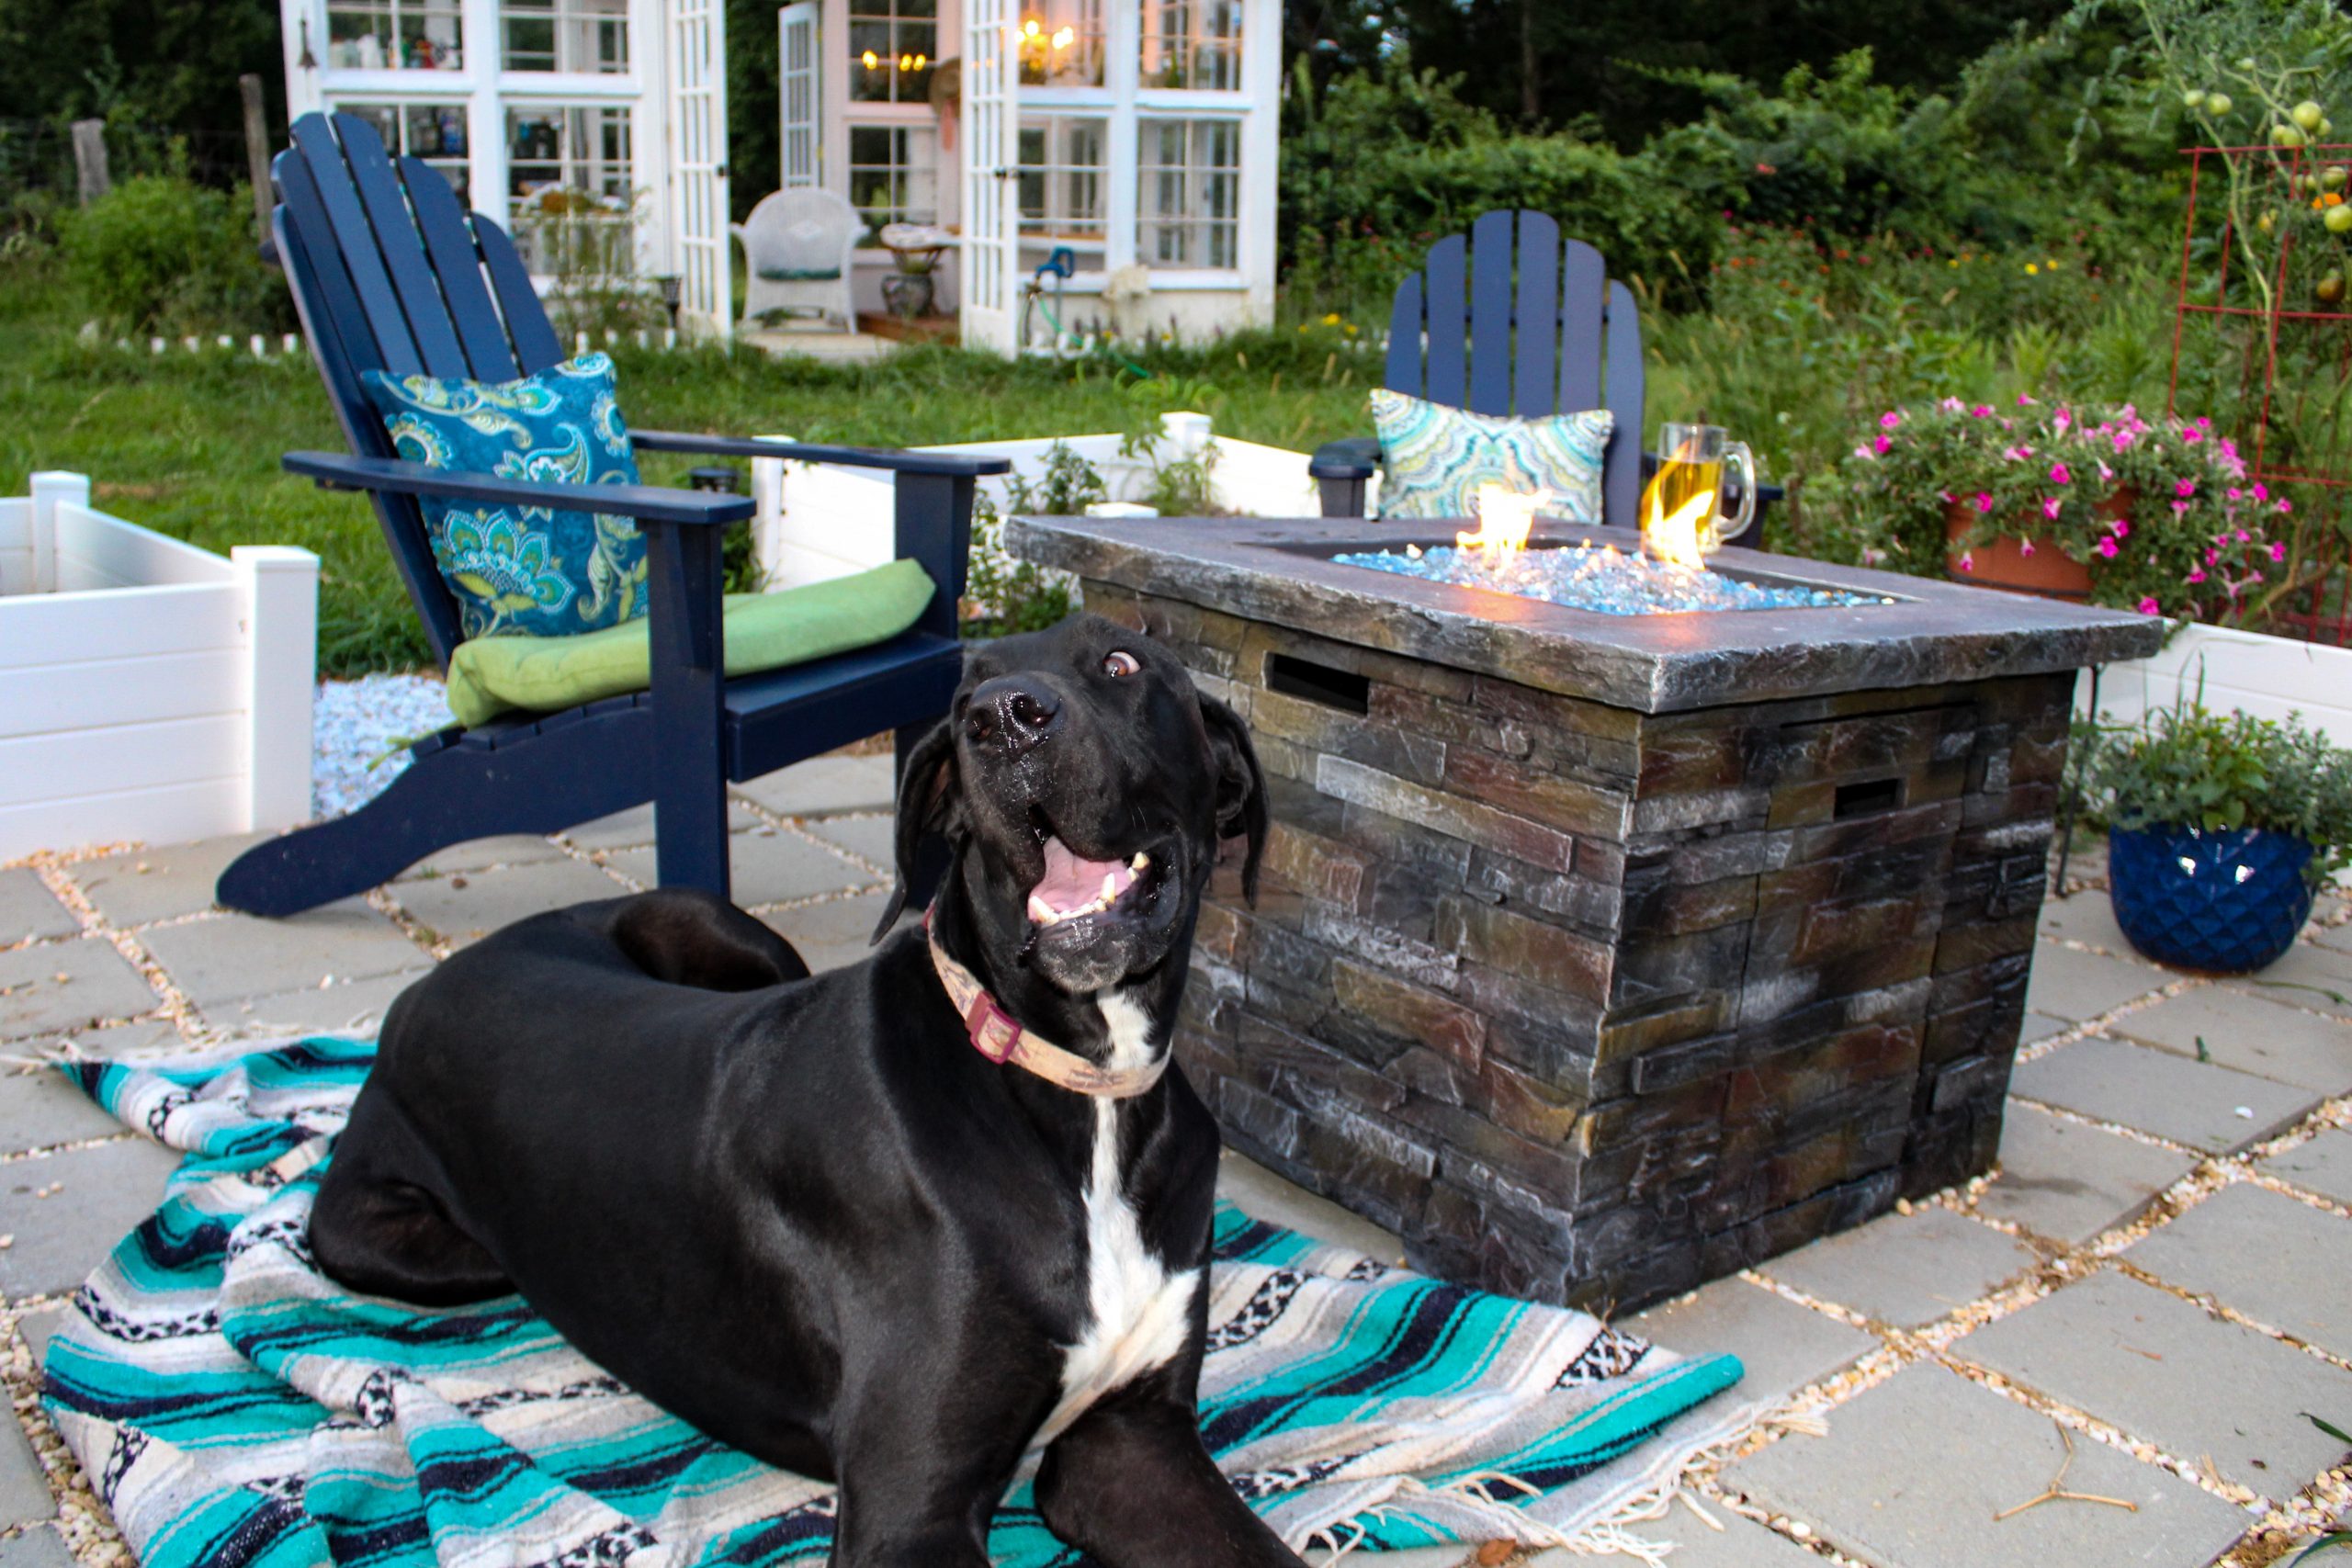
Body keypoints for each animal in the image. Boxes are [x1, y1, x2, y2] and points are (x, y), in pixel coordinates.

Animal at [310, 615, 1307, 1568]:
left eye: (1121, 665)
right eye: (964, 696)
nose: (1003, 720)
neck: (1082, 1085)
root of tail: (422, 987)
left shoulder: (1131, 1439)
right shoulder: (911, 1510)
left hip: (728, 934)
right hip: (416, 1244)